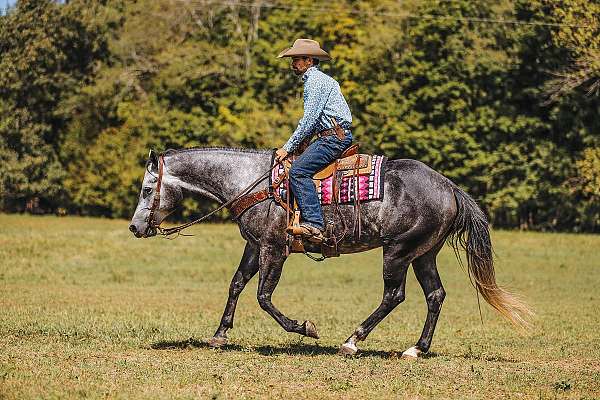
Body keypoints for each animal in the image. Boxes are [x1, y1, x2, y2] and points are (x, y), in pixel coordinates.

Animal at [129, 148, 532, 360]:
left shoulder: (274, 249)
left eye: (148, 189)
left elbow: (263, 296)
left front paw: (305, 328)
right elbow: (237, 285)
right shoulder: (254, 244)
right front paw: (220, 334)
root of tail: (449, 187)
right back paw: (415, 349)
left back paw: (352, 341)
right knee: (435, 295)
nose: (135, 227)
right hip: (424, 253)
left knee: (394, 295)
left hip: (398, 251)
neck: (252, 183)